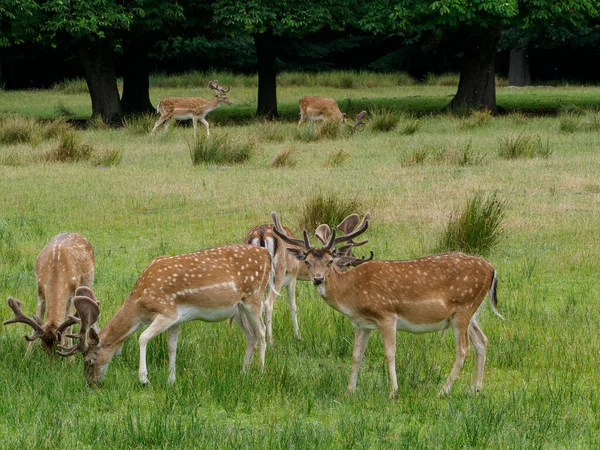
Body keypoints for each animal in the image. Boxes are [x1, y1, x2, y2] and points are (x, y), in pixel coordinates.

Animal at [54, 244, 274, 384]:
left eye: (89, 361)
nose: (91, 384)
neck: (140, 303)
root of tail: (267, 255)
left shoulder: (167, 312)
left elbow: (142, 337)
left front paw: (144, 378)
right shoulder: (176, 320)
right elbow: (172, 347)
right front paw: (171, 380)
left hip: (254, 297)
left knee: (262, 331)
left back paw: (261, 372)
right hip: (238, 309)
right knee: (251, 335)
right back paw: (243, 372)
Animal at [270, 212, 502, 398]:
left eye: (329, 261)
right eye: (307, 262)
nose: (318, 279)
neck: (351, 293)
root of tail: (492, 269)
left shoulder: (387, 314)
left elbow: (390, 352)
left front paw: (393, 391)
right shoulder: (361, 324)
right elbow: (356, 354)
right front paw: (349, 390)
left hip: (464, 308)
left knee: (463, 349)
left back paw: (443, 391)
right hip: (468, 313)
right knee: (482, 341)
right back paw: (475, 389)